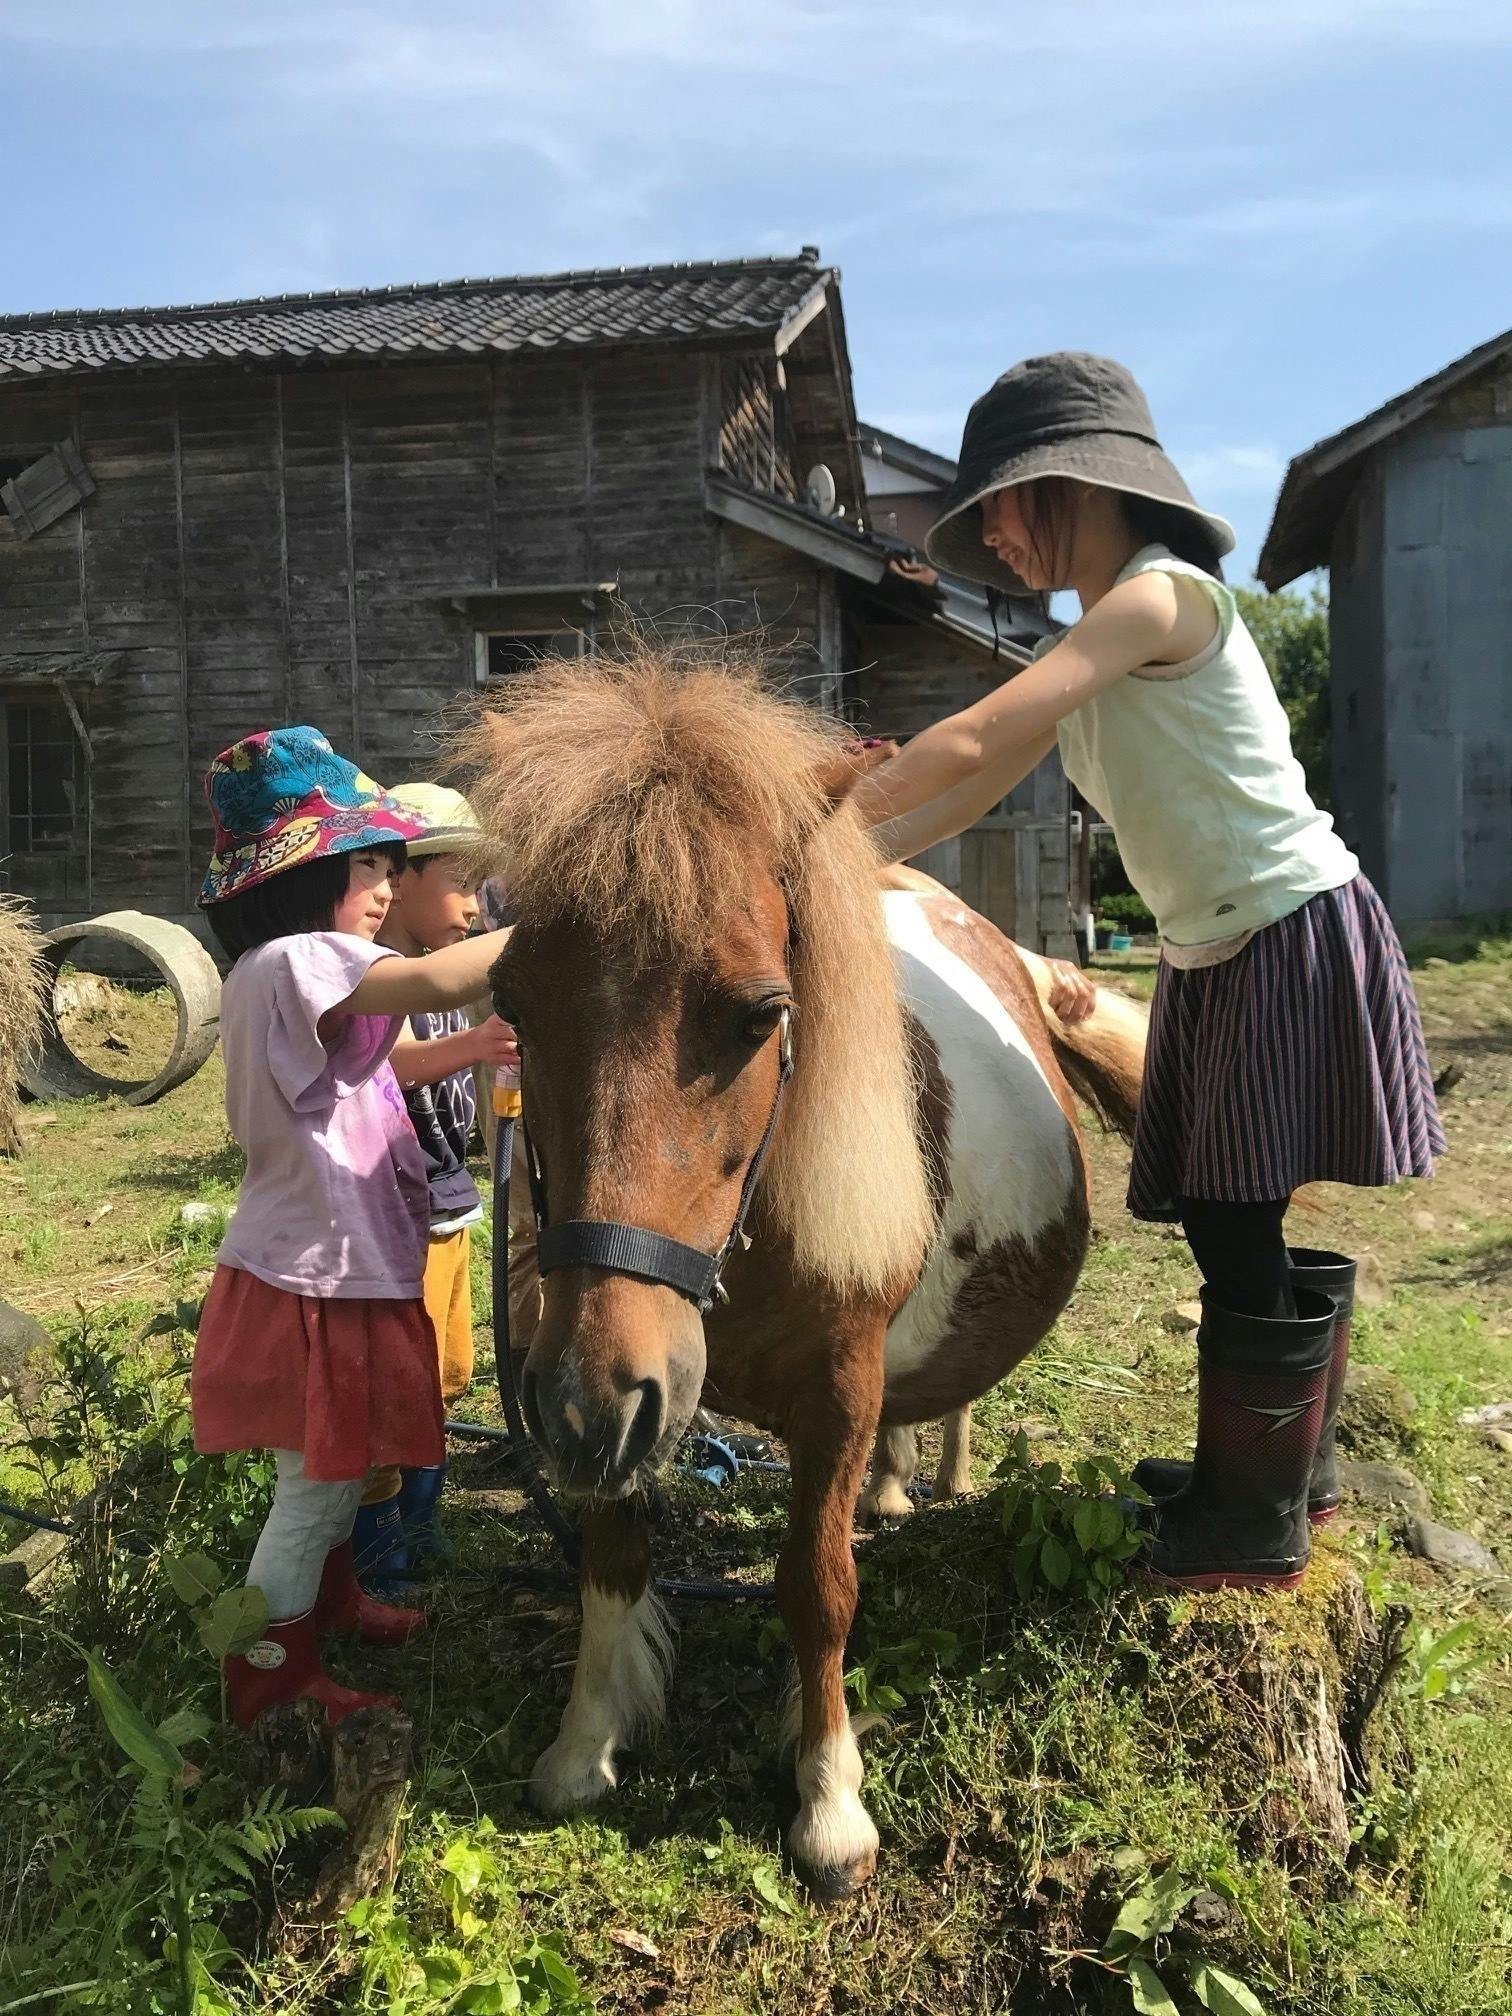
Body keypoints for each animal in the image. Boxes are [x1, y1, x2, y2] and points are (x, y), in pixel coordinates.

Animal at [455, 649, 1145, 1903]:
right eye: (514, 1003)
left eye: (763, 1013)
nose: (580, 1407)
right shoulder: (616, 1384)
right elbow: (612, 1561)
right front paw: (586, 1745)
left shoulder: (830, 1394)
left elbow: (818, 1591)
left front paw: (829, 1803)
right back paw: (896, 1484)